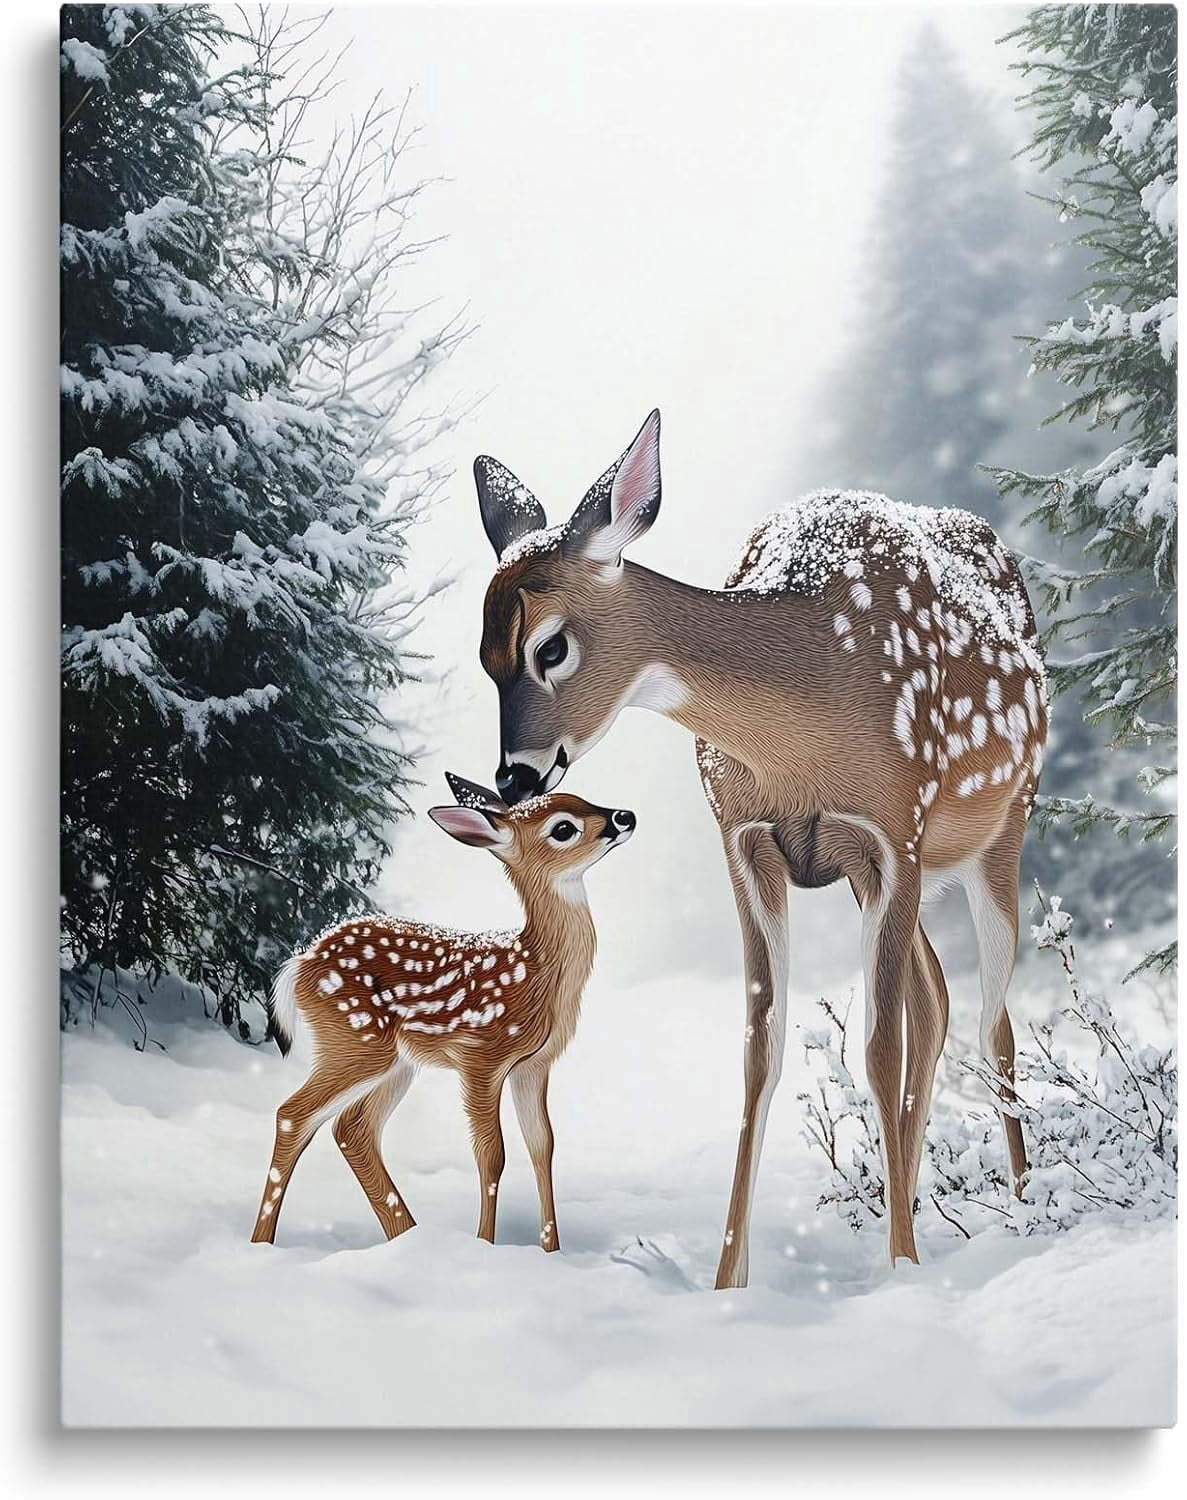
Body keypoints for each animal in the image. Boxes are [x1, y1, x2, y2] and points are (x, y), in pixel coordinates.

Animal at [251, 773, 636, 1252]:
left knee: (352, 1129)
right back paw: (262, 1244)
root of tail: (300, 962)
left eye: (583, 798)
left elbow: (542, 1146)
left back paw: (408, 1236)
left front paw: (552, 1251)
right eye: (563, 828)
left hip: (395, 1062)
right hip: (355, 1038)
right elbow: (492, 1154)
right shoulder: (481, 1055)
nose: (626, 816)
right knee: (293, 1115)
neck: (536, 972)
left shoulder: (535, 1064)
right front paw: (486, 1245)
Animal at [472, 408, 1049, 1289]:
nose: (513, 778)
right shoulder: (746, 839)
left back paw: (1017, 1213)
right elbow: (759, 1049)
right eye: (483, 655)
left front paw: (899, 1266)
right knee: (936, 1001)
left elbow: (875, 1048)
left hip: (998, 829)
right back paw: (915, 1208)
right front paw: (727, 1283)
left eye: (550, 647)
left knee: (991, 1023)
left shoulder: (893, 826)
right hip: (882, 873)